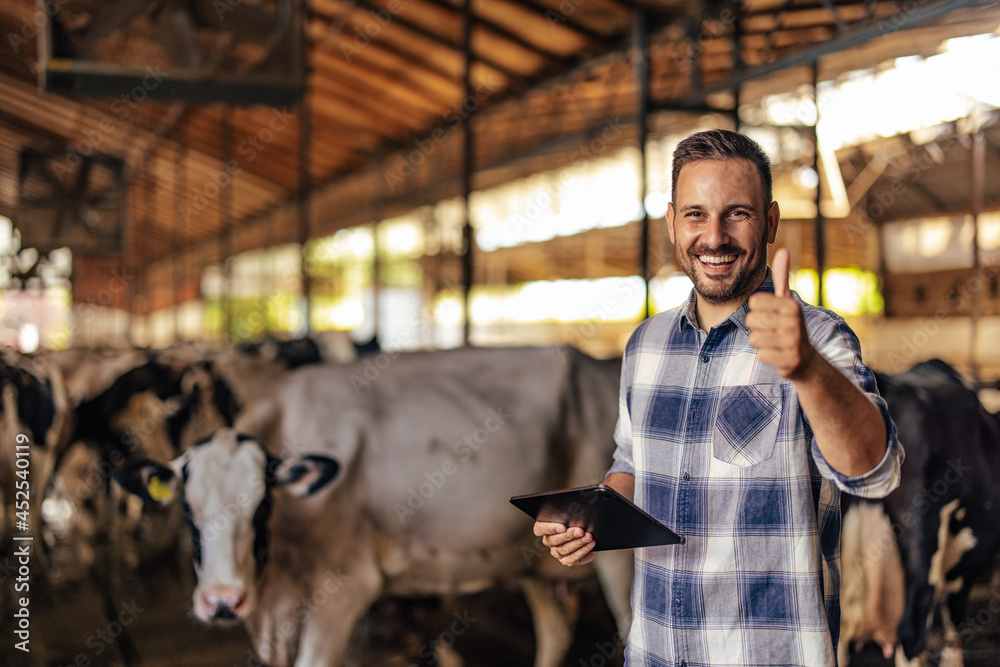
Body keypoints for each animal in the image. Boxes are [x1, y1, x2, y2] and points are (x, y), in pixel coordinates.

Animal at [115, 348, 632, 667]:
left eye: (261, 508)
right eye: (188, 510)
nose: (222, 601)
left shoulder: (344, 590)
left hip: (618, 562)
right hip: (533, 558)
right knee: (555, 632)